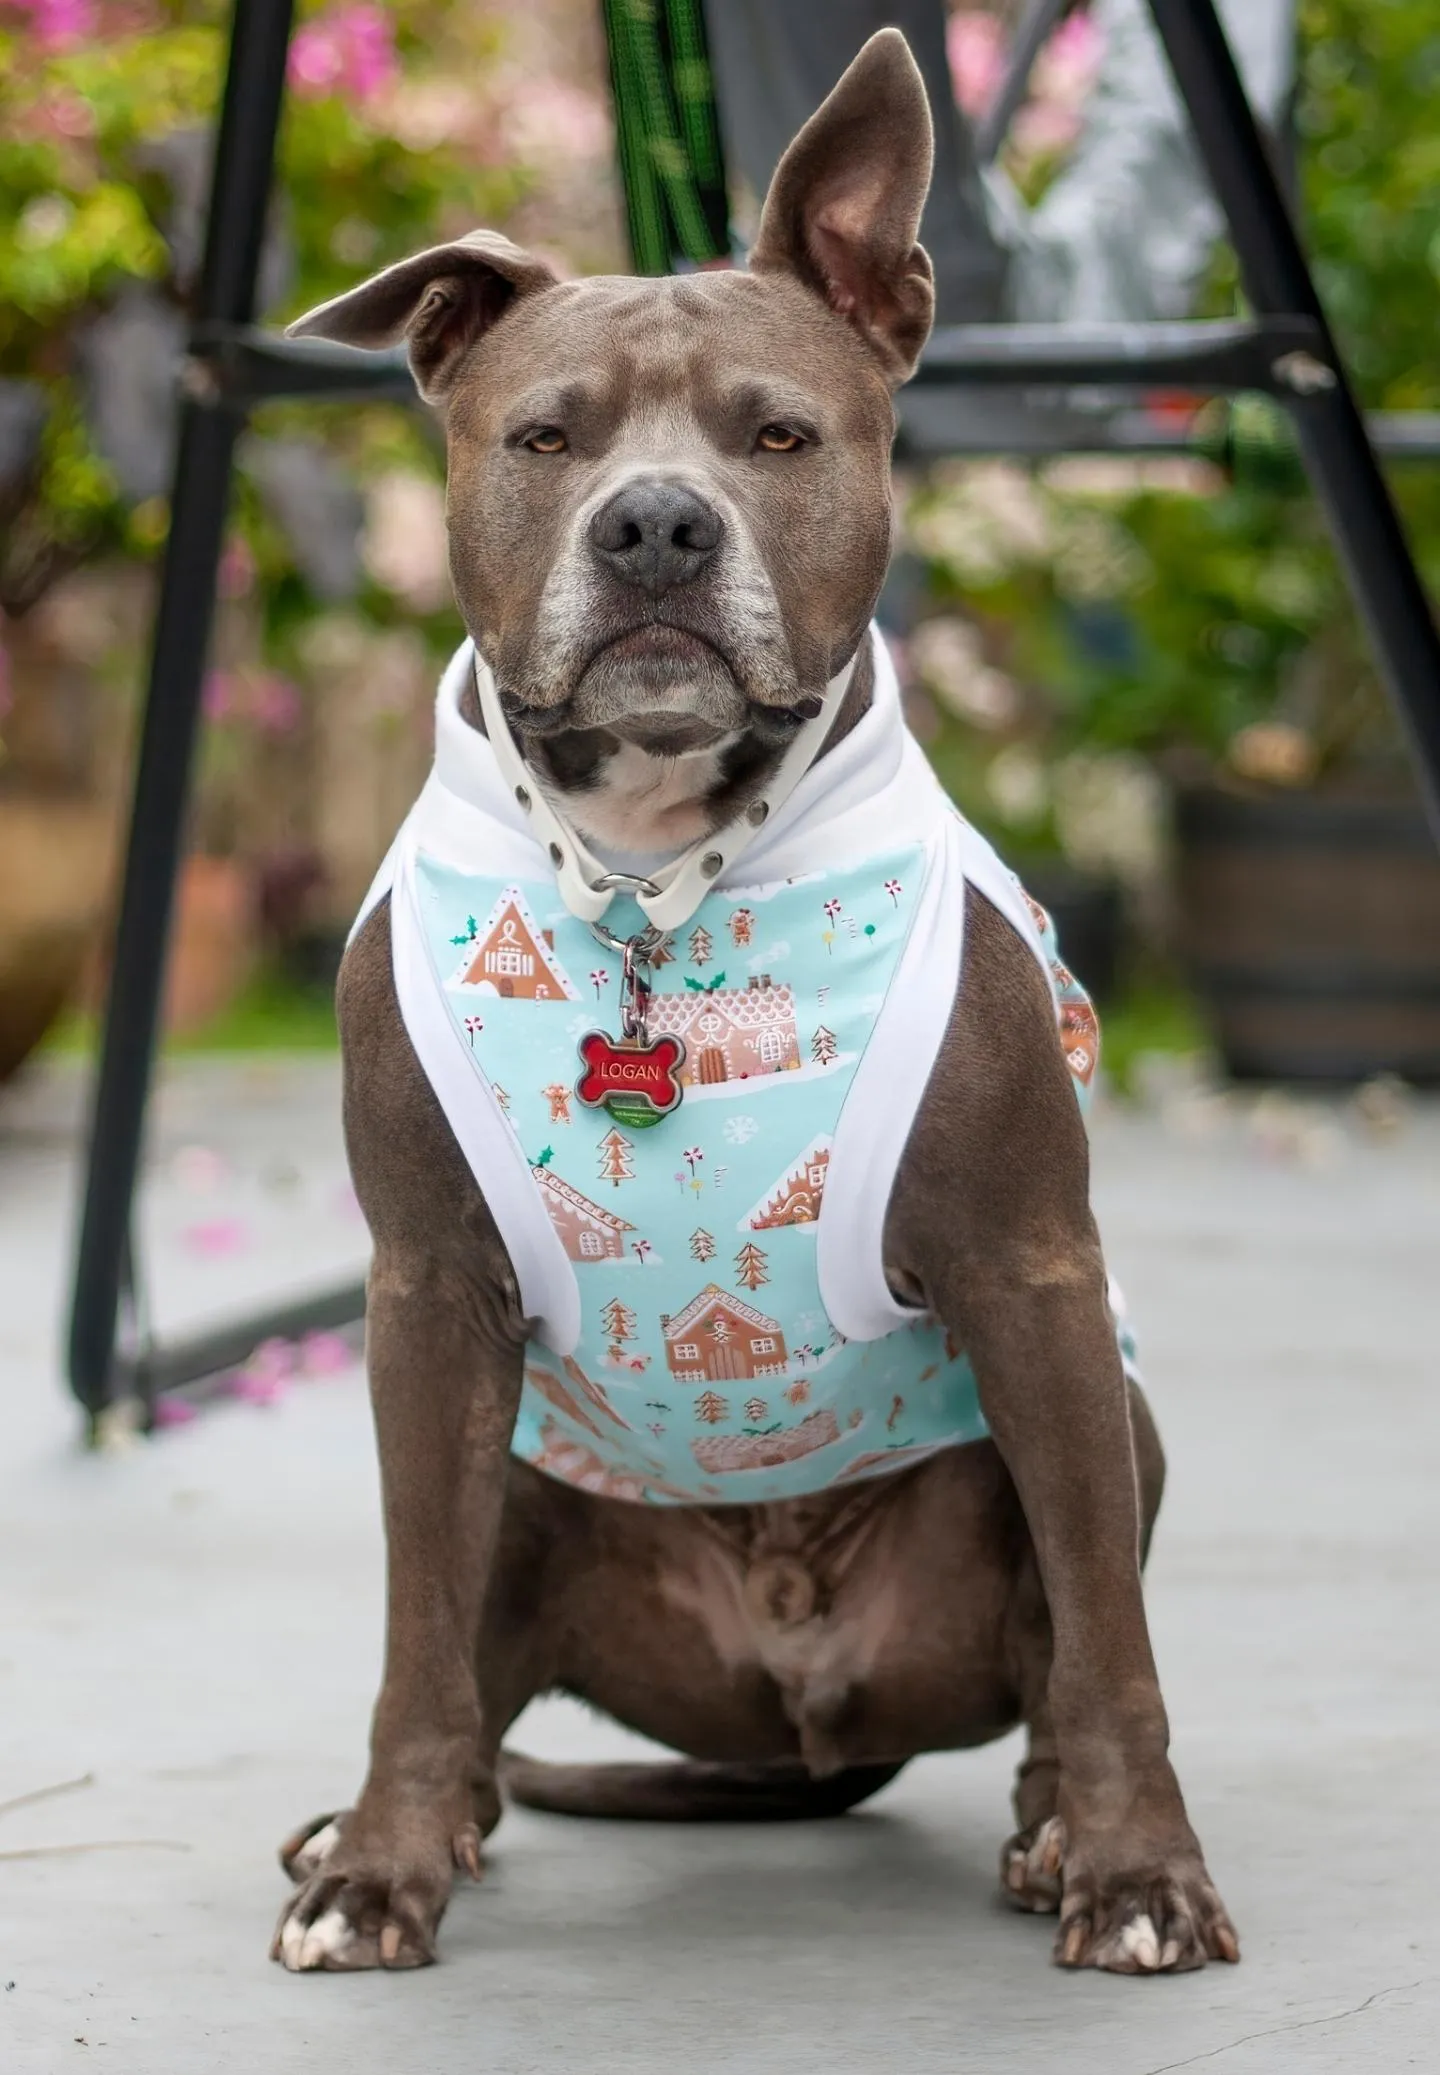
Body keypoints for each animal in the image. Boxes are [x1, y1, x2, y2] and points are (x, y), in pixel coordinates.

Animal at [269, 32, 1244, 1975]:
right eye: (547, 436)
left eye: (778, 435)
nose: (654, 523)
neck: (654, 877)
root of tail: (798, 1688)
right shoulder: (426, 1300)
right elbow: (415, 1633)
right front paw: (383, 1865)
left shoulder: (1033, 1274)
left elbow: (1113, 1642)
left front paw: (1138, 1872)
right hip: (528, 1482)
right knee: (472, 1668)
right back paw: (421, 1823)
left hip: (1108, 1422)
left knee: (1067, 1645)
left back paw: (1049, 1833)